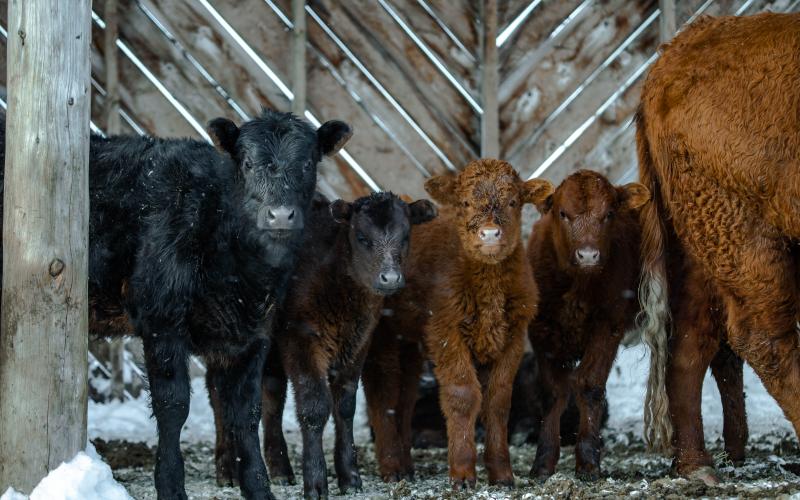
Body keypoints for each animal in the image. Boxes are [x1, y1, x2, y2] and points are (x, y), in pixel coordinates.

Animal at [0, 109, 353, 500]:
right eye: (247, 163)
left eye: (307, 163)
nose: (279, 214)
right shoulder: (162, 323)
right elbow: (173, 405)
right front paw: (170, 484)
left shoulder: (253, 334)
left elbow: (246, 412)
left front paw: (258, 487)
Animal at [362, 158, 553, 488]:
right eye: (464, 203)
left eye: (513, 202)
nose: (489, 234)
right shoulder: (446, 331)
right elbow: (463, 395)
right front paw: (462, 472)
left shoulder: (513, 336)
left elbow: (498, 401)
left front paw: (502, 473)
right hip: (381, 335)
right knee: (382, 392)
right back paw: (392, 467)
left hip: (409, 341)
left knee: (405, 397)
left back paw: (407, 466)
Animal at [525, 170, 649, 480]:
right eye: (563, 213)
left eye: (609, 214)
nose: (588, 255)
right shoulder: (541, 332)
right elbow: (553, 393)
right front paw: (543, 462)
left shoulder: (608, 326)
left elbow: (590, 386)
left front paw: (588, 459)